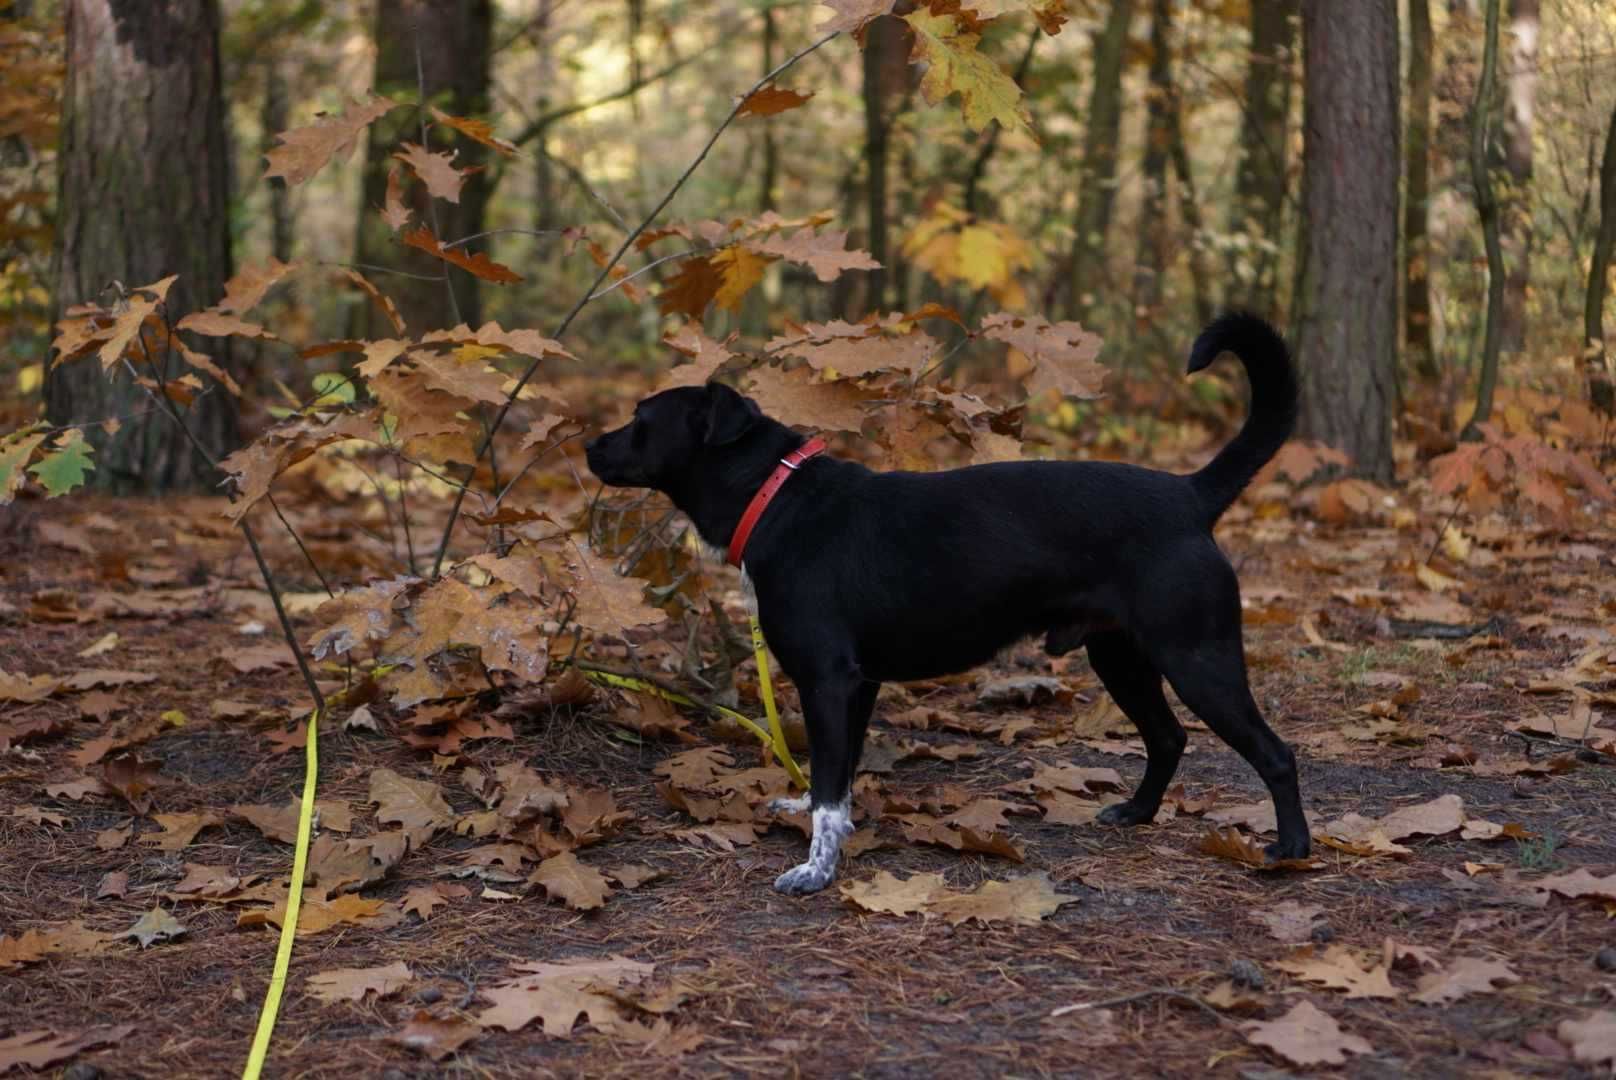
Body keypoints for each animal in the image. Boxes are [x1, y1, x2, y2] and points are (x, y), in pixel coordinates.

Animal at [588, 312, 1305, 892]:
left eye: (641, 420)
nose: (588, 444)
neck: (777, 498)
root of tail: (1190, 494)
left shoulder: (828, 682)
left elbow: (827, 788)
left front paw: (816, 869)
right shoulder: (859, 686)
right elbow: (836, 782)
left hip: (1197, 657)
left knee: (1274, 754)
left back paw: (1291, 848)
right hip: (1121, 657)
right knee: (1167, 736)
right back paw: (1136, 812)